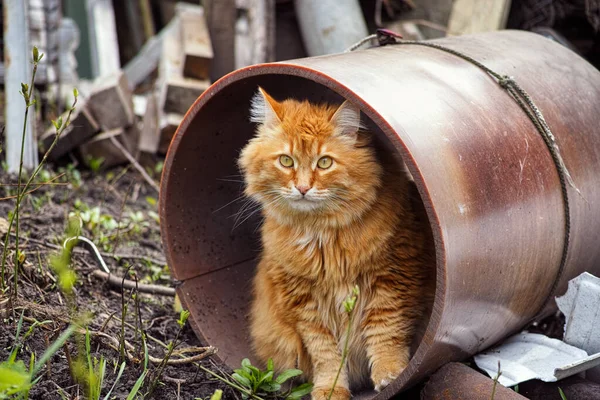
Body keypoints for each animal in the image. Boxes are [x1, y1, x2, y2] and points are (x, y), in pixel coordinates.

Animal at [237, 88, 434, 400]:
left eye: (324, 162)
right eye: (286, 161)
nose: (303, 188)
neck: (320, 234)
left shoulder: (392, 280)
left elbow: (385, 333)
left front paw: (390, 374)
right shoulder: (304, 304)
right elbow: (326, 354)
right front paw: (330, 390)